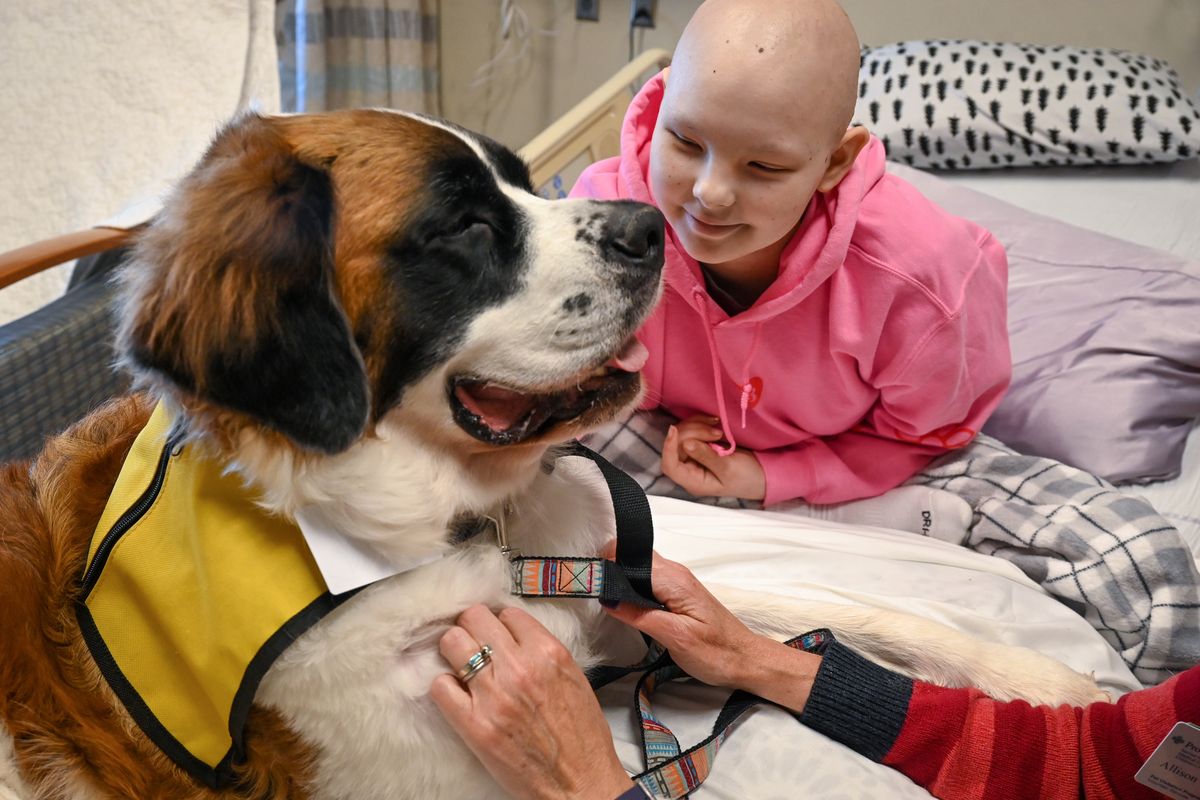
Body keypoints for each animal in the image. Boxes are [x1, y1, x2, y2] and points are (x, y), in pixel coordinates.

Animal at [0, 110, 1104, 800]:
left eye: (526, 183)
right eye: (463, 225)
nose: (652, 225)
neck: (462, 522)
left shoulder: (614, 586)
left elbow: (821, 608)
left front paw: (1045, 684)